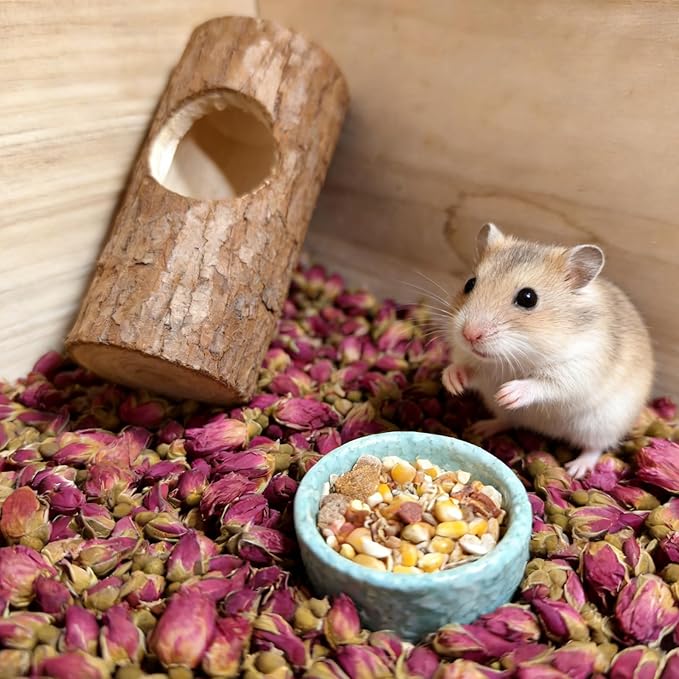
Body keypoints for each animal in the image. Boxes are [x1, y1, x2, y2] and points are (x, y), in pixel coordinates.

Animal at [441, 223, 654, 479]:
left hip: (601, 424)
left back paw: (576, 469)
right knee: (507, 421)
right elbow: (466, 368)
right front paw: (453, 382)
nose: (469, 335)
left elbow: (545, 384)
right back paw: (481, 427)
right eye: (470, 284)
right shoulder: (480, 367)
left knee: (595, 447)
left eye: (528, 298)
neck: (519, 356)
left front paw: (508, 393)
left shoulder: (579, 369)